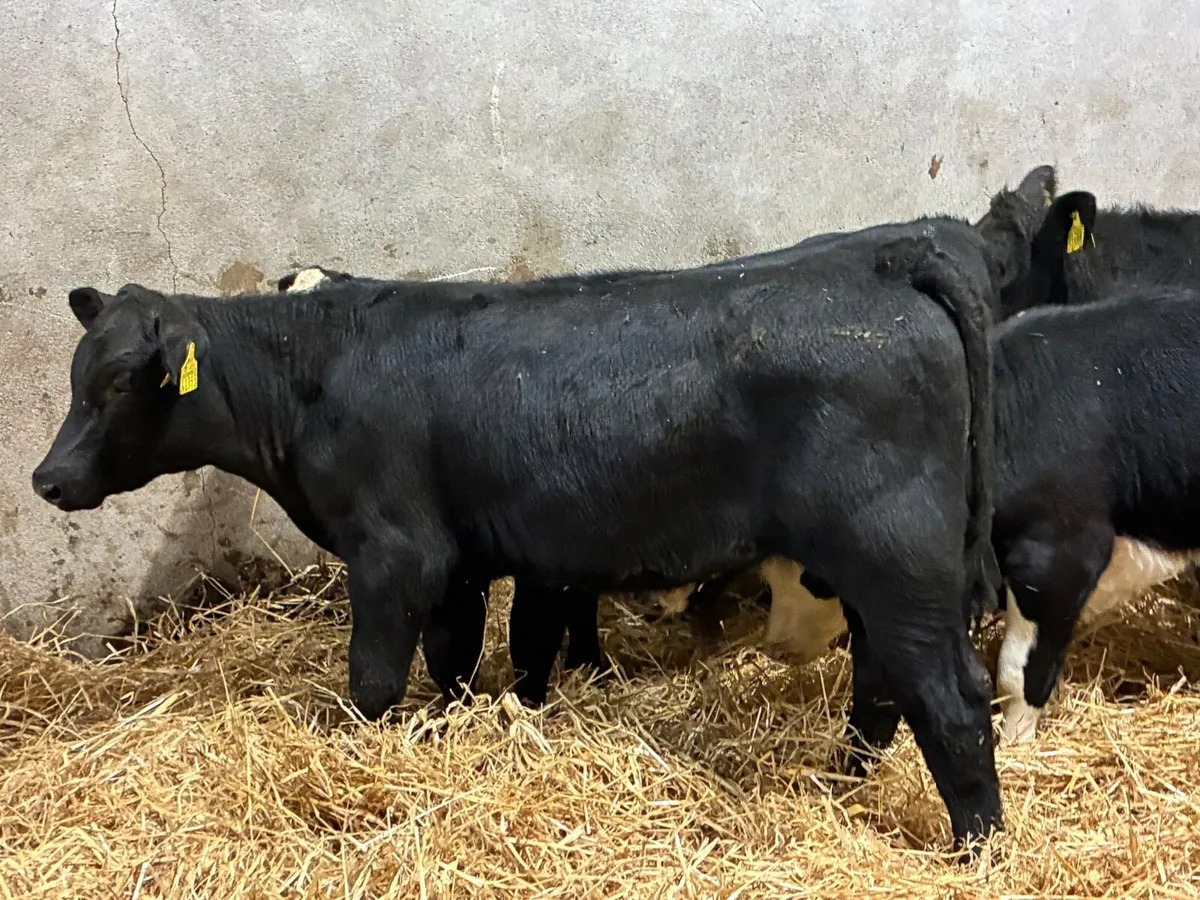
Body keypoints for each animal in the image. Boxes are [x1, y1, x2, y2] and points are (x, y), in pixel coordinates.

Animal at [32, 215, 1010, 846]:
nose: (47, 478)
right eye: (79, 373)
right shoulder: (458, 563)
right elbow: (455, 661)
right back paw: (840, 785)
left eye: (116, 382)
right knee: (882, 687)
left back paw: (977, 848)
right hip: (878, 570)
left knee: (952, 699)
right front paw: (452, 732)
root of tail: (888, 261)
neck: (317, 368)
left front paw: (356, 756)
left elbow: (374, 679)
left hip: (895, 556)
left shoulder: (395, 553)